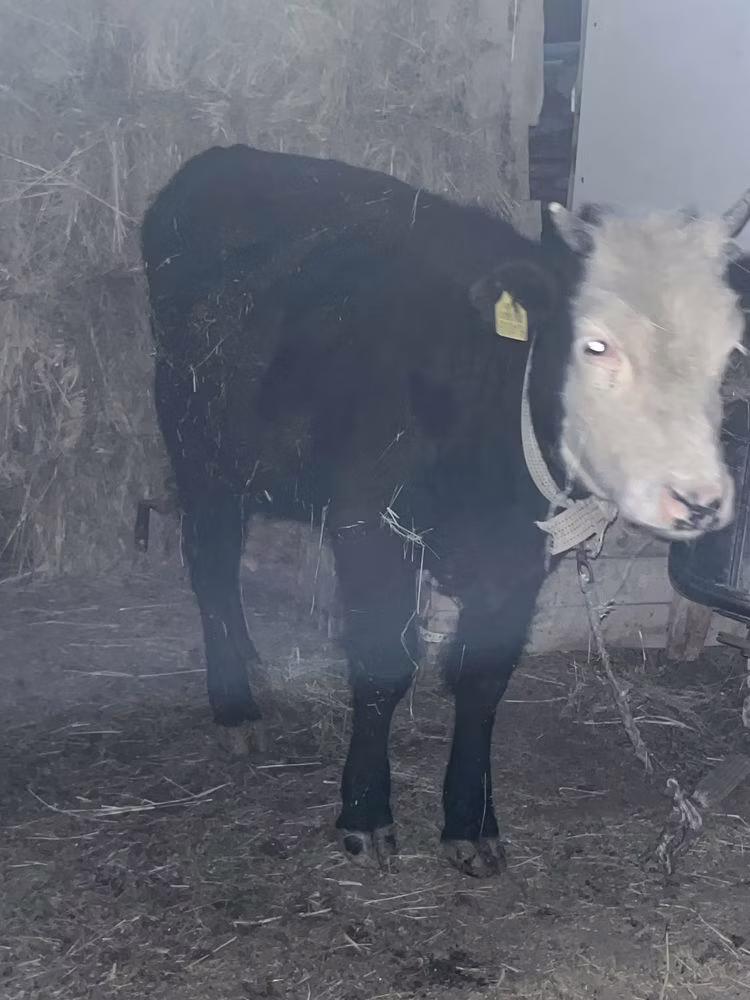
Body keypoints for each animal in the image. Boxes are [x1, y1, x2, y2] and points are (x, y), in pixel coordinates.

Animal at [141, 144, 750, 876]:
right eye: (595, 344)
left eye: (728, 352)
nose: (697, 498)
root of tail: (222, 158)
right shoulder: (372, 528)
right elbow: (383, 667)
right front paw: (366, 814)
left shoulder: (519, 560)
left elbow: (483, 680)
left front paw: (470, 820)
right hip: (199, 442)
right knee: (210, 566)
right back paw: (235, 707)